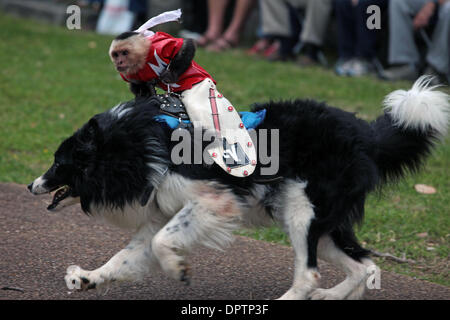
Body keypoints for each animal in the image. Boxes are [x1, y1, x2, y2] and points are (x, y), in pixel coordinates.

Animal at [29, 76, 450, 298]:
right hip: (320, 222)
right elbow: (127, 255)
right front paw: (88, 277)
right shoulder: (163, 211)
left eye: (58, 163)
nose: (33, 185)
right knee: (364, 266)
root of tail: (367, 135)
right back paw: (328, 296)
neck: (134, 145)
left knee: (310, 273)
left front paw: (178, 268)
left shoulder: (214, 200)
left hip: (303, 212)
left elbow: (163, 242)